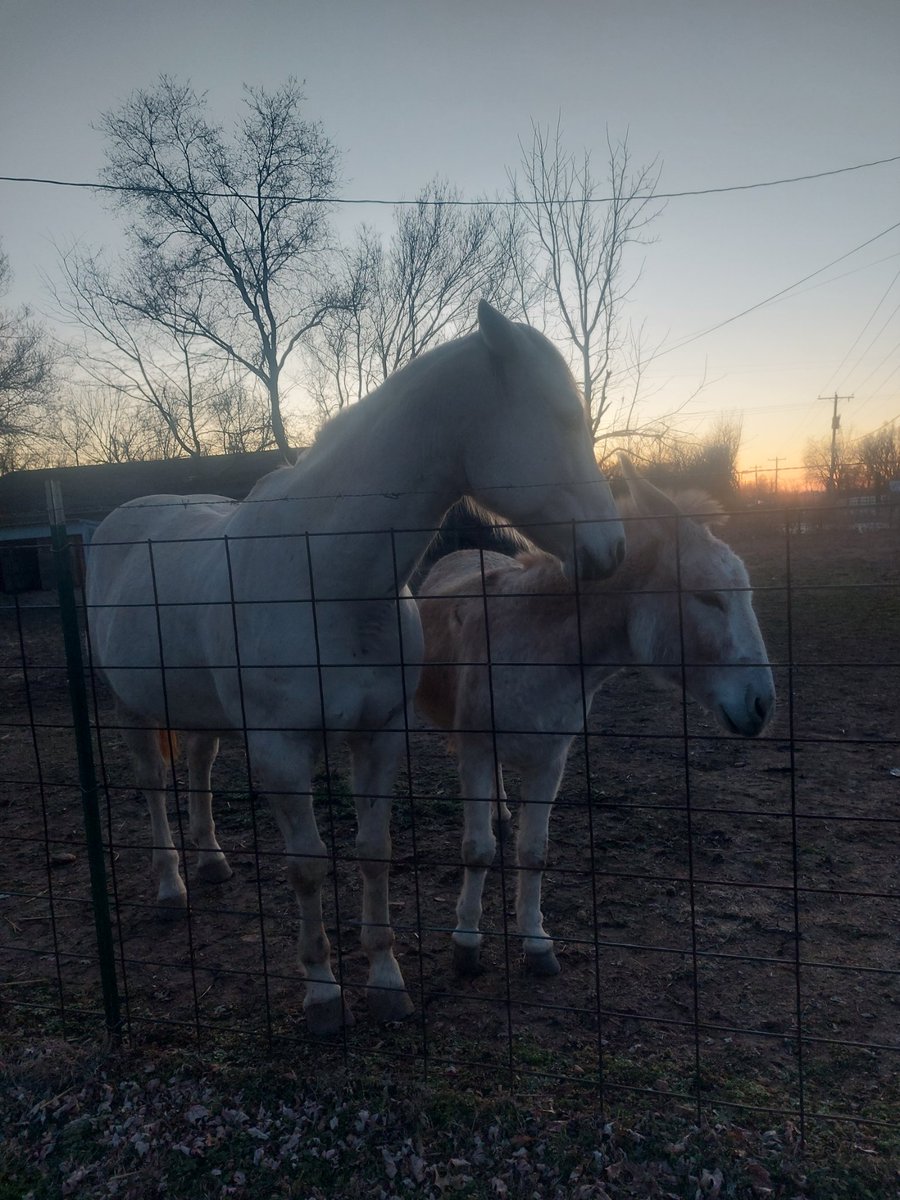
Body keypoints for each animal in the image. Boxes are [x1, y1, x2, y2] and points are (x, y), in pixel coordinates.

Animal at [85, 300, 626, 1035]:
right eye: (566, 417)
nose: (613, 549)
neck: (328, 577)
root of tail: (120, 518)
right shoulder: (282, 750)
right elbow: (308, 867)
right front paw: (322, 995)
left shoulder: (379, 736)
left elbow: (374, 852)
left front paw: (387, 982)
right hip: (133, 708)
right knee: (152, 785)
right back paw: (171, 887)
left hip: (197, 707)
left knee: (197, 766)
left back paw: (213, 863)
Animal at [415, 456, 775, 979]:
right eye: (709, 597)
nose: (763, 705)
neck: (539, 647)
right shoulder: (478, 747)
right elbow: (477, 850)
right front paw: (466, 941)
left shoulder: (551, 758)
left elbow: (534, 852)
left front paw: (536, 943)